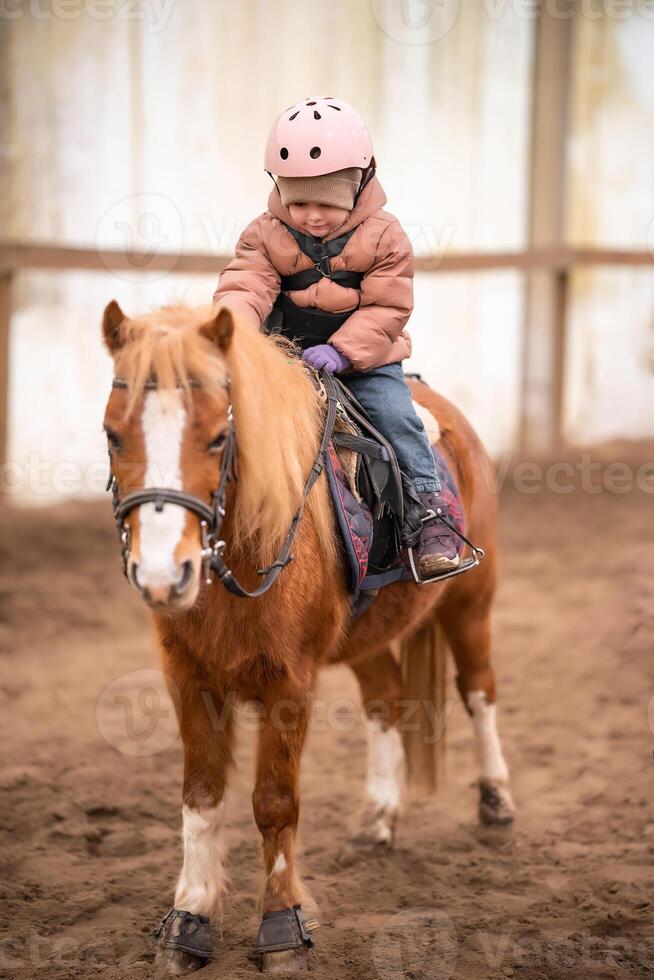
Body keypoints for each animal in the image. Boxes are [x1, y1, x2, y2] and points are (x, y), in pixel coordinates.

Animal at [101, 300, 516, 972]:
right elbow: (201, 797)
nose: (163, 575)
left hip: (471, 602)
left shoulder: (289, 680)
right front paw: (188, 922)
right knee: (386, 700)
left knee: (479, 689)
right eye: (115, 435)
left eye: (219, 437)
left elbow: (274, 803)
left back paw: (497, 804)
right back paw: (378, 820)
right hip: (369, 637)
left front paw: (282, 928)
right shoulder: (187, 677)